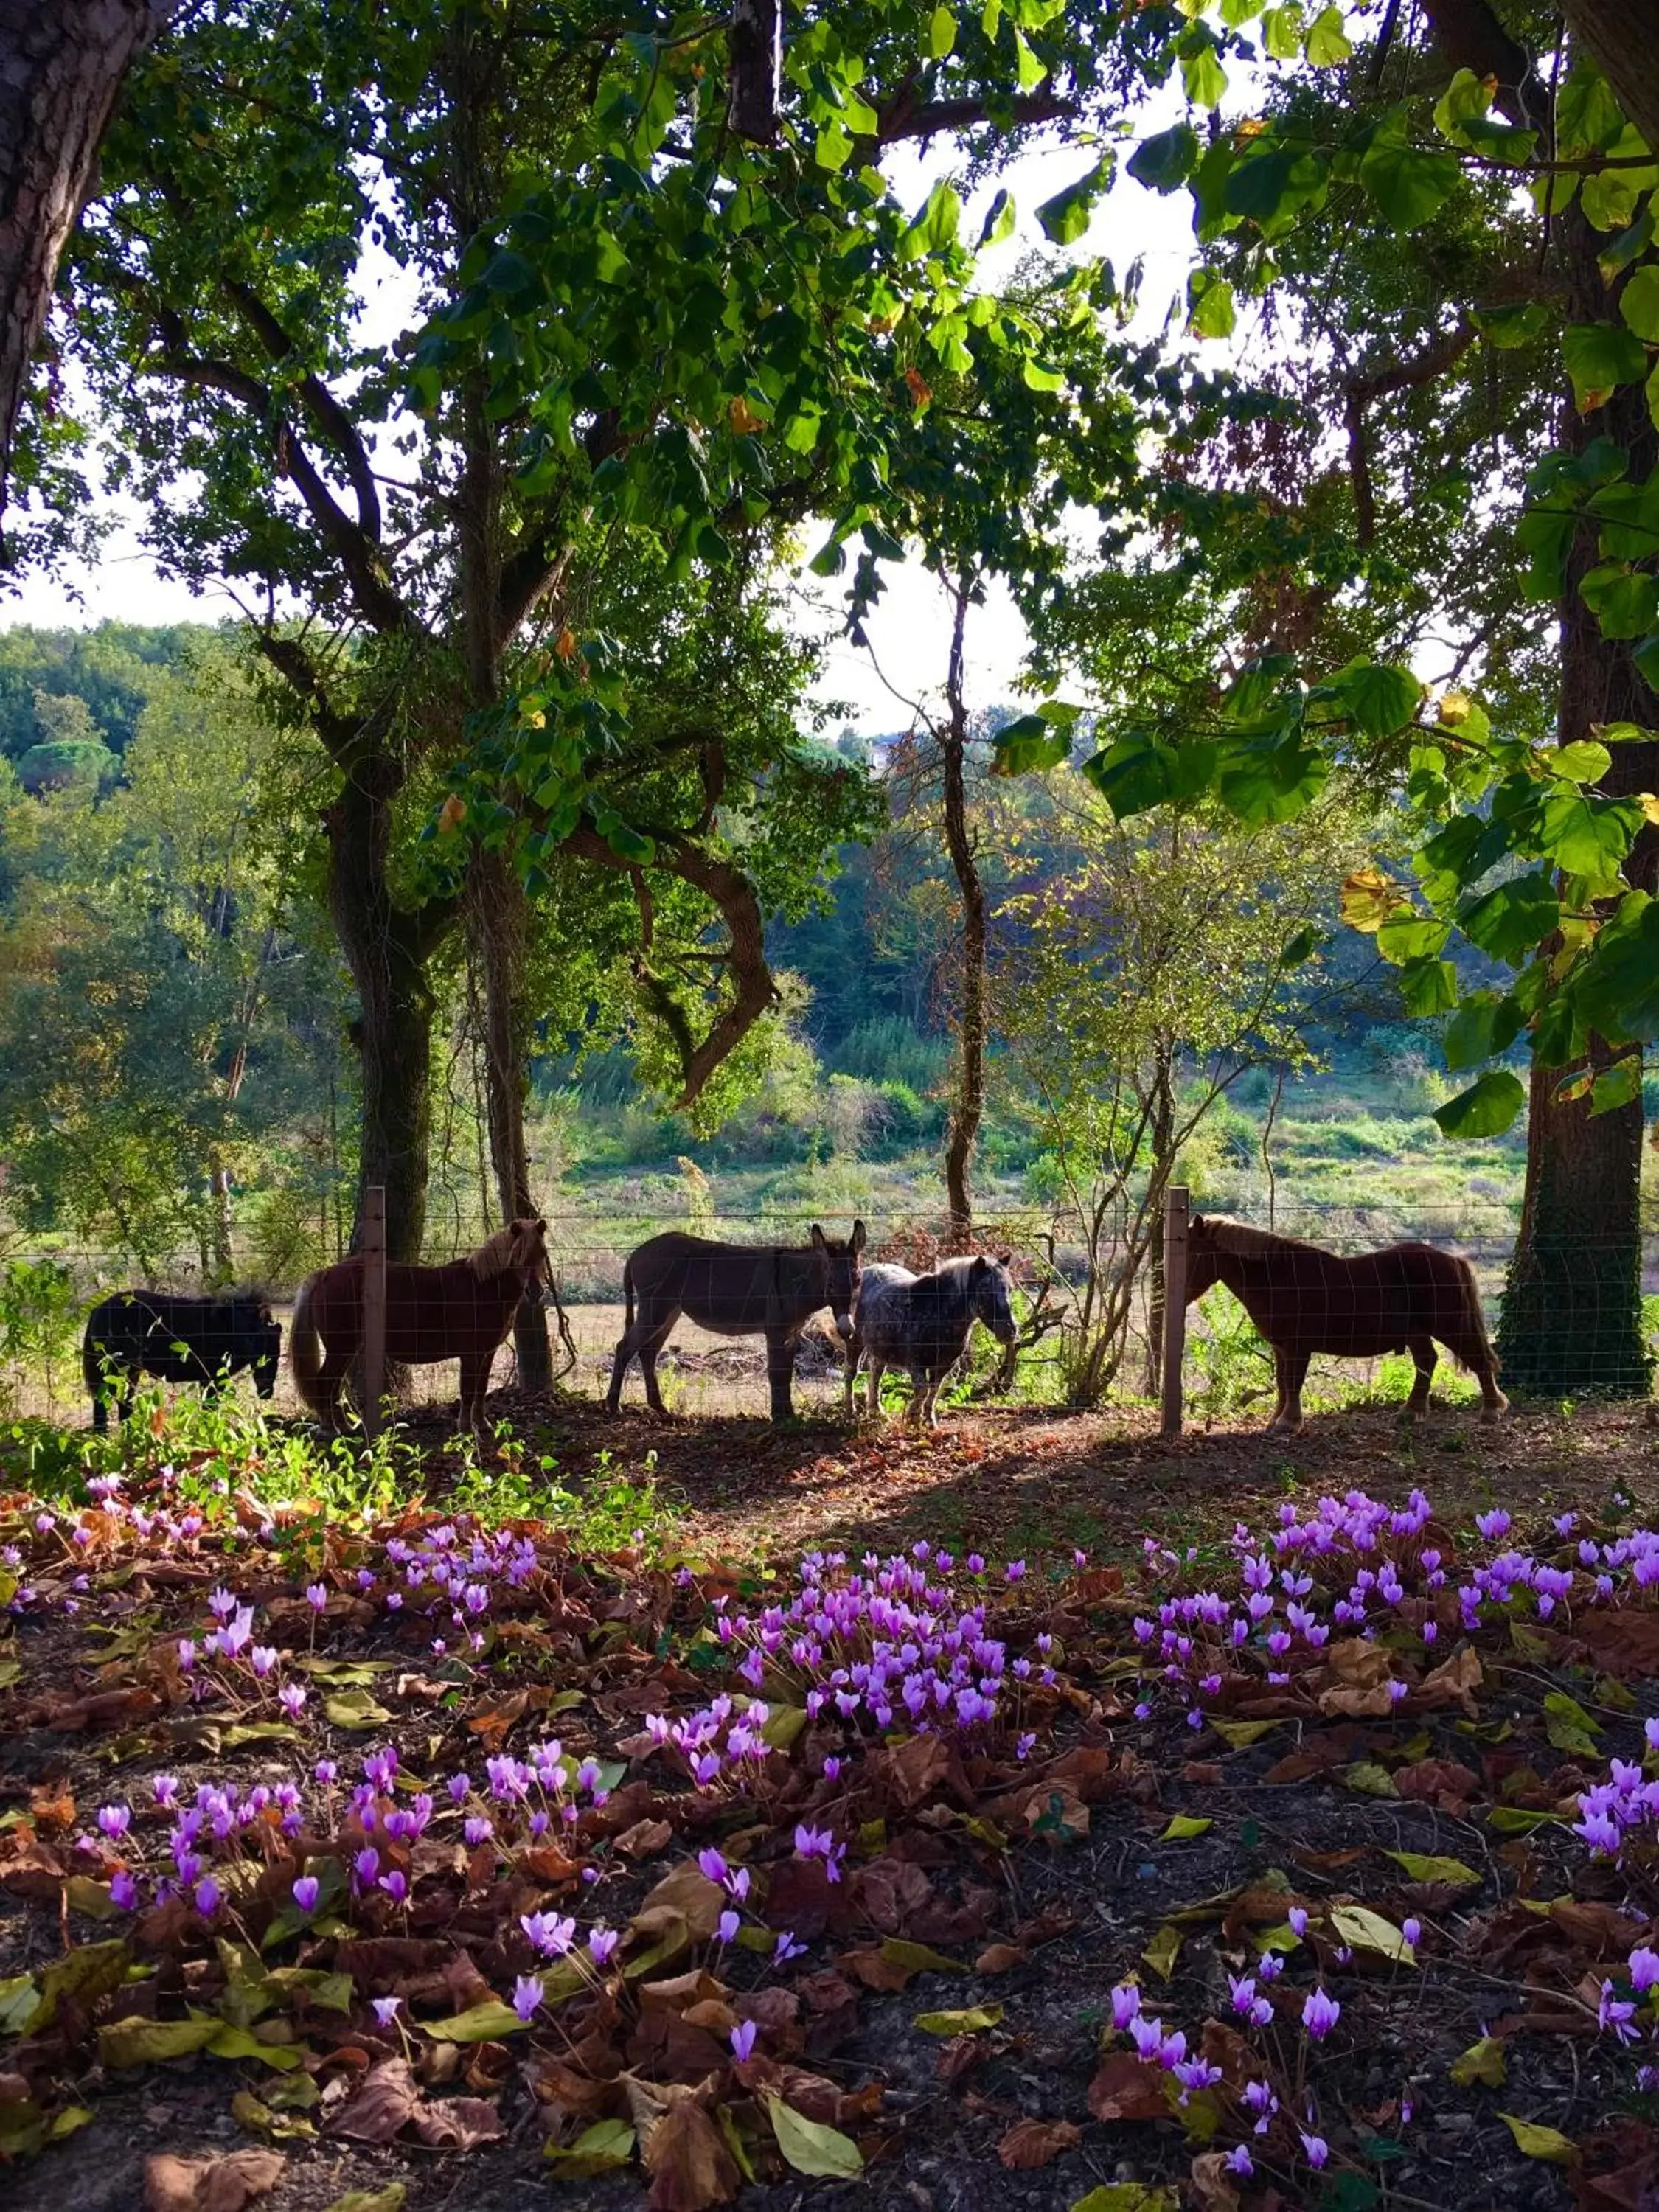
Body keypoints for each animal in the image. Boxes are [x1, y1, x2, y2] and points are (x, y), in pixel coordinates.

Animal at [83, 1283, 283, 1433]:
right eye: (263, 1355)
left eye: (278, 1356)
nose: (267, 1392)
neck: (229, 1328)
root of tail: (98, 1309)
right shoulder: (212, 1378)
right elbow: (210, 1409)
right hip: (116, 1372)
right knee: (105, 1405)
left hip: (129, 1374)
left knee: (122, 1405)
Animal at [285, 1221, 546, 1442]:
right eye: (519, 1257)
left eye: (543, 1254)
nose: (535, 1292)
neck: (482, 1288)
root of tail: (324, 1275)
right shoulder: (470, 1355)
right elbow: (468, 1391)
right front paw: (466, 1430)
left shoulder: (487, 1353)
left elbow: (481, 1390)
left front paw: (482, 1426)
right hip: (341, 1348)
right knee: (325, 1383)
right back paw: (329, 1429)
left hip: (346, 1350)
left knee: (334, 1386)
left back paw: (345, 1427)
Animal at [1186, 1212, 1513, 1433]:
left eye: (1192, 1252)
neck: (1277, 1277)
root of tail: (1452, 1259)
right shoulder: (1280, 1347)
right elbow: (1281, 1382)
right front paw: (1276, 1420)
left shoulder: (1297, 1346)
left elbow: (1293, 1382)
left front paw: (1289, 1423)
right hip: (1417, 1332)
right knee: (1427, 1361)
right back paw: (1411, 1412)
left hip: (1450, 1325)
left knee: (1478, 1360)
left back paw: (1490, 1411)